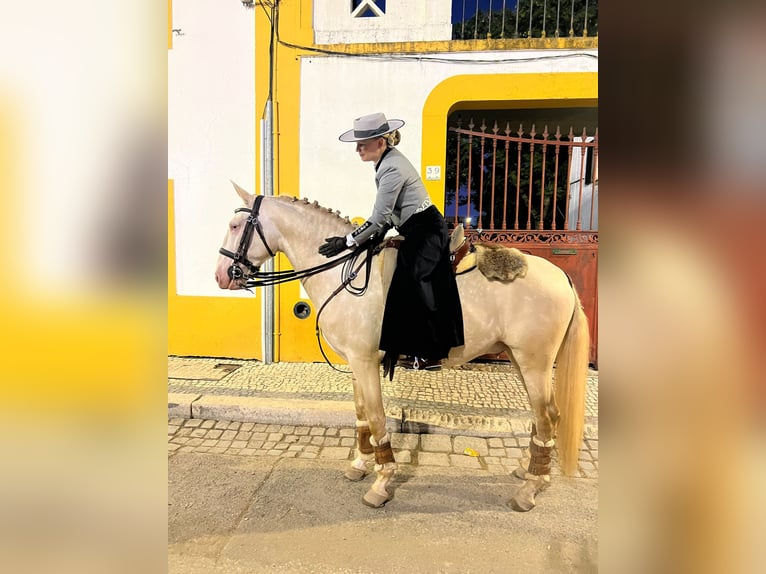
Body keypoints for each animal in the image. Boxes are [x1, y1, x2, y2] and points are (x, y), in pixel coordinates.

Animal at [218, 186, 592, 512]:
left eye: (235, 226)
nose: (222, 274)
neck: (346, 274)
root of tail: (562, 277)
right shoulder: (356, 365)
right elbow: (361, 416)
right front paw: (360, 464)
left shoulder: (365, 361)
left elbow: (377, 418)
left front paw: (381, 482)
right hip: (518, 358)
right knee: (542, 417)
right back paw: (529, 470)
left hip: (534, 362)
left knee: (547, 416)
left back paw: (530, 489)